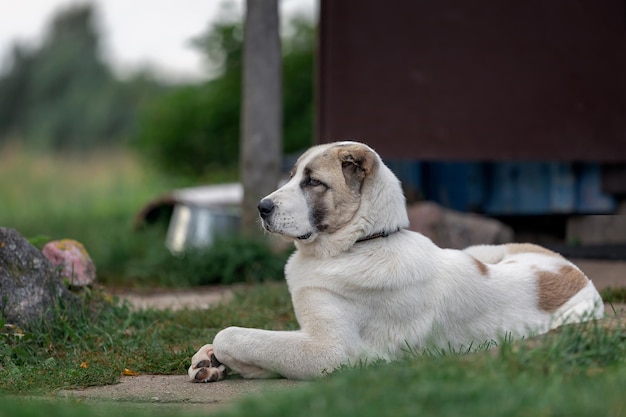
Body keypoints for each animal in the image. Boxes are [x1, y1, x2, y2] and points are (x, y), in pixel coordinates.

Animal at [188, 141, 604, 382]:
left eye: (313, 182)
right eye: (292, 177)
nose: (261, 207)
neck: (361, 243)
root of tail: (579, 273)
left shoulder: (330, 351)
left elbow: (235, 334)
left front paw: (227, 357)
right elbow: (255, 335)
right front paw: (209, 360)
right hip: (483, 249)